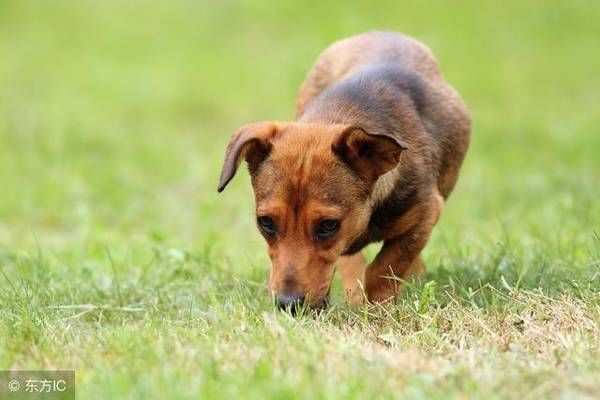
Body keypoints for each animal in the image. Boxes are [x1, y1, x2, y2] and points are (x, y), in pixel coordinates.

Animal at [218, 31, 472, 310]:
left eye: (329, 225)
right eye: (265, 222)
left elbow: (387, 265)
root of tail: (381, 32)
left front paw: (380, 308)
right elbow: (355, 264)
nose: (288, 304)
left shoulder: (426, 211)